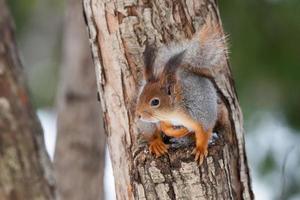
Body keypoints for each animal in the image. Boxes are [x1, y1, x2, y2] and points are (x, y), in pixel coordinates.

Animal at [136, 20, 227, 165]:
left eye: (155, 102)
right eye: (140, 97)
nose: (138, 115)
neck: (175, 111)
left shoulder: (202, 112)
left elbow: (204, 132)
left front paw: (201, 149)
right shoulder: (164, 120)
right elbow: (166, 128)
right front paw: (180, 131)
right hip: (147, 125)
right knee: (150, 132)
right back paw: (157, 143)